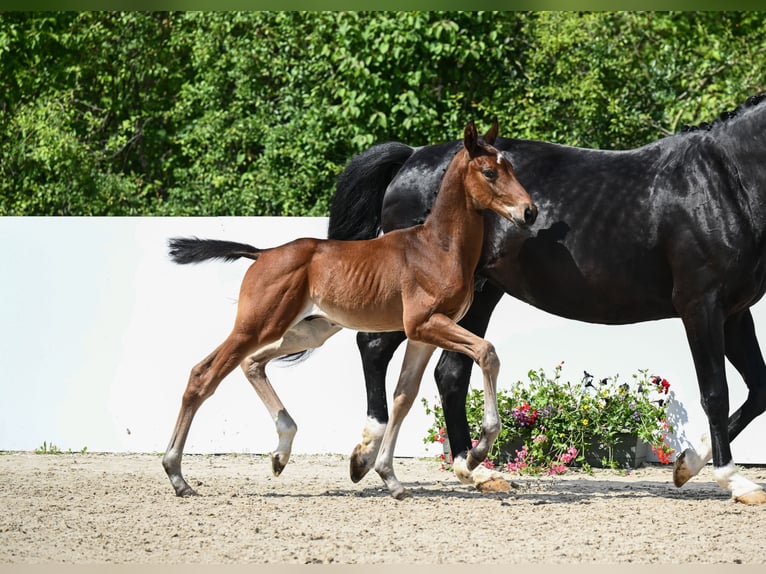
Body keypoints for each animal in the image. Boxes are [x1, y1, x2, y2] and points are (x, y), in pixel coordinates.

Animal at [160, 121, 540, 500]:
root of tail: (262, 253)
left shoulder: (423, 335)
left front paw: (389, 477)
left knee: (251, 363)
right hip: (256, 326)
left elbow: (404, 396)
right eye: (490, 172)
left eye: (511, 167)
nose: (530, 212)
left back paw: (280, 453)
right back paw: (177, 475)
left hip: (307, 331)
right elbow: (487, 352)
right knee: (203, 375)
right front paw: (478, 451)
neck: (437, 247)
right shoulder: (425, 324)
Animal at [332, 93, 766, 504]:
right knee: (374, 346)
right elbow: (716, 392)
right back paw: (366, 455)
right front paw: (736, 481)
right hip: (426, 301)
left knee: (450, 374)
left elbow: (758, 389)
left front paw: (686, 465)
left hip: (476, 295)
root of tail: (411, 158)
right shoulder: (701, 306)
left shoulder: (735, 312)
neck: (726, 182)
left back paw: (475, 469)